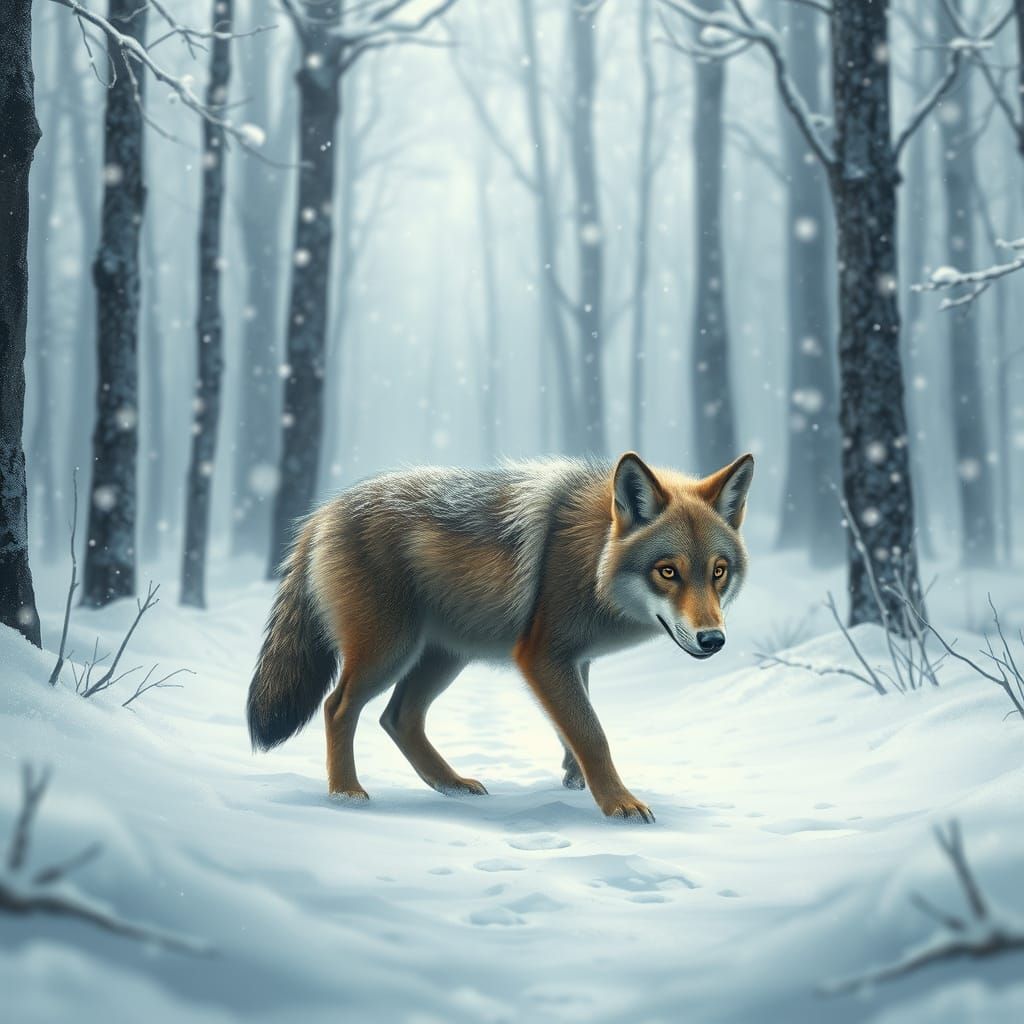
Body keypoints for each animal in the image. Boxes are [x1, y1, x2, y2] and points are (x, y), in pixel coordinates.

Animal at [247, 451, 753, 821]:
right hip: (389, 653)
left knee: (398, 718)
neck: (591, 558)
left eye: (718, 572)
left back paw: (451, 785)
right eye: (667, 571)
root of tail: (323, 511)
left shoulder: (575, 660)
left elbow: (576, 725)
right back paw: (345, 793)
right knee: (337, 707)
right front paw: (618, 803)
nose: (713, 640)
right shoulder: (541, 657)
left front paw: (575, 779)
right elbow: (593, 734)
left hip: (443, 657)